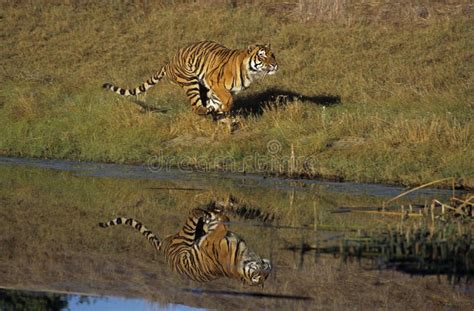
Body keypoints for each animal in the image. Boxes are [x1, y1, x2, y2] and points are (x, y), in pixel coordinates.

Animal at [98, 207, 272, 288]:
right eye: (262, 272)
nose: (265, 265)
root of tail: (163, 246)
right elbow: (222, 224)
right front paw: (221, 215)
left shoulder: (212, 239)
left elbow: (221, 227)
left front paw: (220, 218)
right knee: (199, 220)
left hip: (185, 236)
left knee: (193, 214)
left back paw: (203, 212)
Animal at [102, 40, 276, 115]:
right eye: (262, 56)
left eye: (272, 55)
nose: (274, 65)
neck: (250, 72)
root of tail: (169, 62)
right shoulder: (214, 81)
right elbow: (227, 99)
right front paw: (223, 110)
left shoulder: (213, 89)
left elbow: (218, 101)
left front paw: (219, 111)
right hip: (189, 81)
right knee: (196, 106)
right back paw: (204, 110)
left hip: (200, 85)